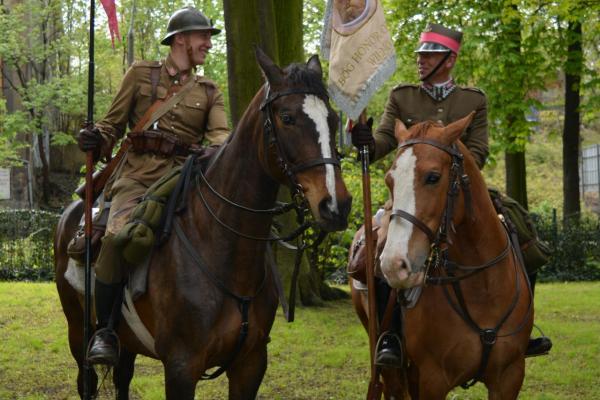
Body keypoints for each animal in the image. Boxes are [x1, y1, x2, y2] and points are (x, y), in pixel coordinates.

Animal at [55, 47, 352, 400]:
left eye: (333, 119)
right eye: (287, 117)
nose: (336, 205)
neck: (225, 251)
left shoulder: (251, 365)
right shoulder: (181, 367)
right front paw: (91, 138)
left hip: (127, 341)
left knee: (122, 377)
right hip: (78, 331)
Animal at [352, 114, 536, 398]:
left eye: (433, 177)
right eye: (389, 181)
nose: (393, 265)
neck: (482, 290)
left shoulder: (509, 376)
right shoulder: (433, 379)